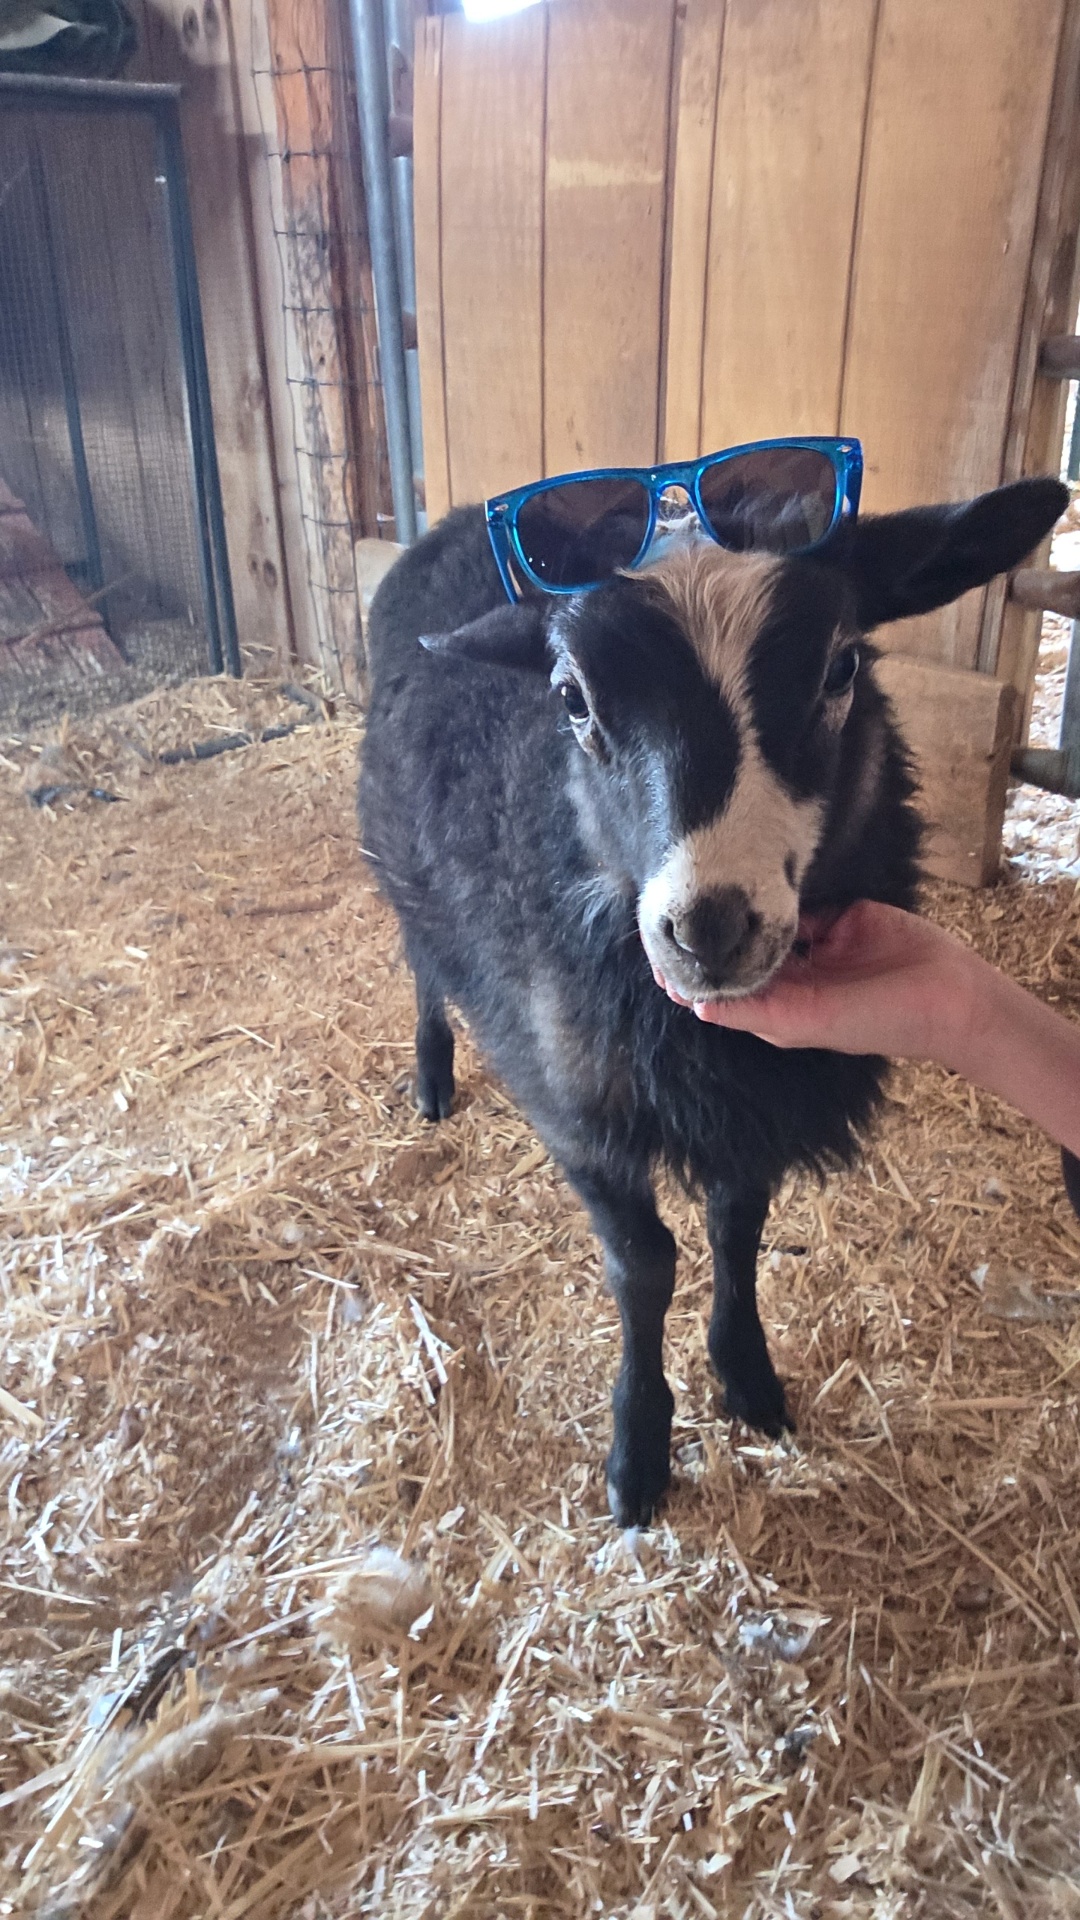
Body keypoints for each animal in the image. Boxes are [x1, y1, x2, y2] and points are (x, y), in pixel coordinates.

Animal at [359, 476, 1065, 1527]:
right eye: (571, 698)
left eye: (841, 666)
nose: (710, 927)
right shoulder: (580, 1104)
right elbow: (643, 1266)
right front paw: (638, 1449)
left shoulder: (756, 1104)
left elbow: (739, 1229)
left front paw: (747, 1377)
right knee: (423, 963)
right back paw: (433, 1076)